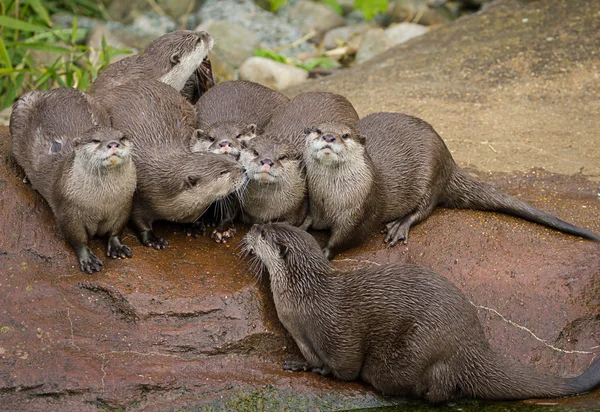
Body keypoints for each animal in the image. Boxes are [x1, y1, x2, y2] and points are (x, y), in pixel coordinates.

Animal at [9, 87, 137, 274]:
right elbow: (77, 238)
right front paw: (87, 259)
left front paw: (117, 246)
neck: (102, 202)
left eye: (122, 137)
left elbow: (116, 229)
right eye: (96, 140)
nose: (113, 144)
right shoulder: (68, 211)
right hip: (21, 105)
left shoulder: (124, 205)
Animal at [94, 80, 244, 248]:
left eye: (228, 160)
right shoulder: (139, 196)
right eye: (223, 172)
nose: (243, 169)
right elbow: (139, 220)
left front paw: (194, 226)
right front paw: (153, 239)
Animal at [244, 222, 600, 402]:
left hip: (419, 348)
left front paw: (322, 371)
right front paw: (301, 364)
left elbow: (344, 365)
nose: (251, 226)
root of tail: (472, 346)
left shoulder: (336, 330)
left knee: (432, 389)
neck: (304, 300)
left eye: (263, 233)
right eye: (269, 223)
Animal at [304, 112, 600, 260]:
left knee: (426, 208)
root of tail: (450, 159)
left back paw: (400, 225)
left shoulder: (361, 209)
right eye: (317, 130)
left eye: (346, 135)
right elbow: (307, 220)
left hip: (432, 174)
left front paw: (324, 251)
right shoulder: (313, 202)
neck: (330, 199)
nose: (329, 137)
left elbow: (347, 237)